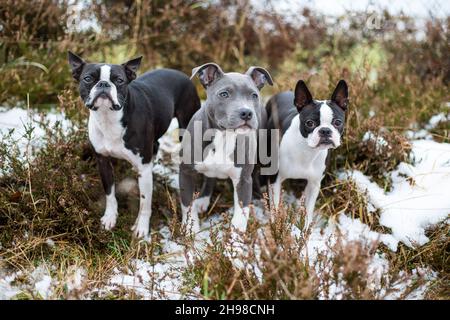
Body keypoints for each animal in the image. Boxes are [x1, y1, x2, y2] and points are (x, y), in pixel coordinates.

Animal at [67, 50, 200, 240]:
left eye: (119, 80)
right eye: (88, 78)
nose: (104, 84)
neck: (109, 118)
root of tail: (182, 74)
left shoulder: (143, 167)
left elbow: (145, 202)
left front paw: (141, 228)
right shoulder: (103, 161)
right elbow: (109, 192)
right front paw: (110, 218)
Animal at [268, 79, 348, 229]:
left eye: (338, 122)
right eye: (309, 123)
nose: (325, 131)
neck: (307, 150)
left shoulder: (314, 184)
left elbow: (308, 210)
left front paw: (305, 230)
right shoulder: (275, 180)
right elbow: (275, 207)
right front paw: (276, 228)